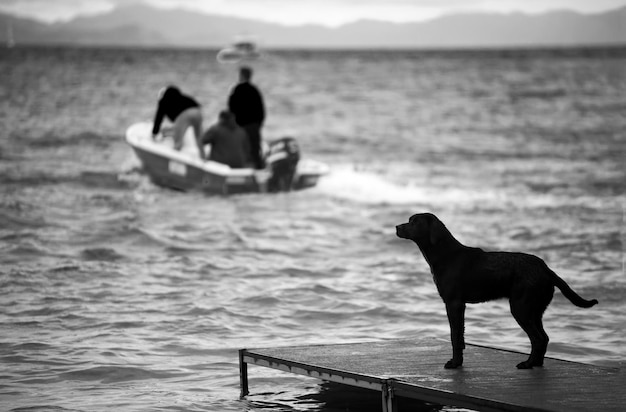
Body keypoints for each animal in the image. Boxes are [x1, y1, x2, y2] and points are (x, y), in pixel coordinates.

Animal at [394, 212, 596, 370]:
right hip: (535, 310)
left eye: (414, 222)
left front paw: (454, 363)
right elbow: (460, 337)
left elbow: (454, 336)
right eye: (409, 220)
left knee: (538, 339)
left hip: (521, 308)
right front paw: (458, 362)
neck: (446, 254)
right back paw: (536, 363)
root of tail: (546, 269)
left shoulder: (454, 303)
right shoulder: (460, 306)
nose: (396, 226)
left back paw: (527, 364)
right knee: (544, 338)